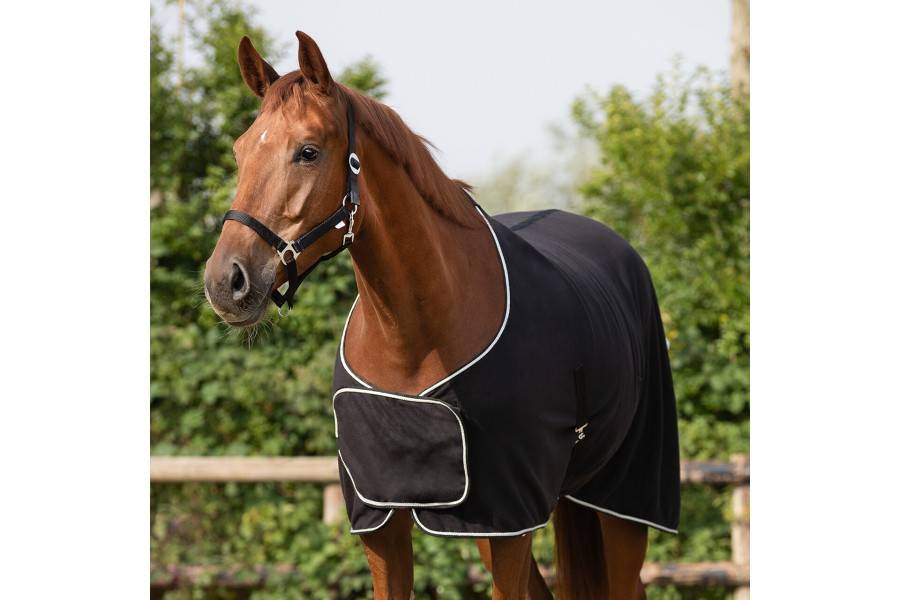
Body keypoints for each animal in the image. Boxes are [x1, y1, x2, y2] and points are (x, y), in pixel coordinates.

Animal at [204, 31, 680, 600]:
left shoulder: (508, 518)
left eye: (308, 151)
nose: (225, 282)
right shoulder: (384, 520)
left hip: (625, 496)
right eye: (239, 151)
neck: (413, 340)